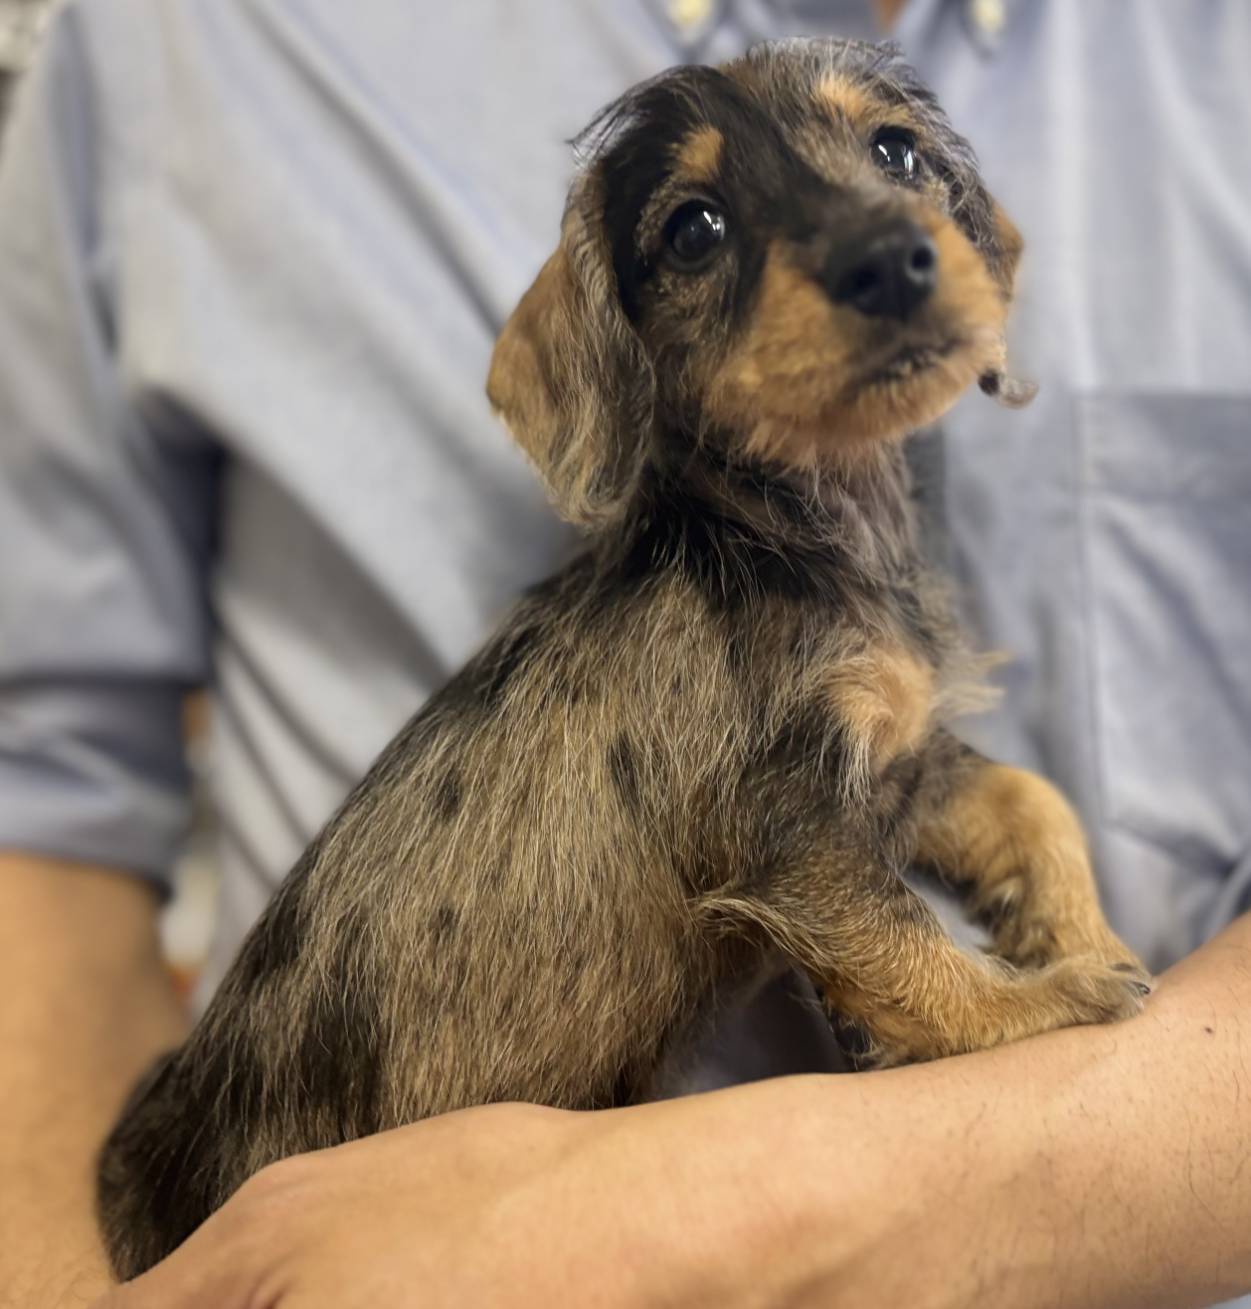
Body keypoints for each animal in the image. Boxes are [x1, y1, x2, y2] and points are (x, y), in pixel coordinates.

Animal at [97, 38, 1151, 1277]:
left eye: (896, 152)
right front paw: (1051, 997)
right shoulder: (795, 834)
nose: (889, 259)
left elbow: (1035, 802)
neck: (787, 534)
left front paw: (1074, 925)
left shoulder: (898, 759)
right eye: (695, 228)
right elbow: (918, 959)